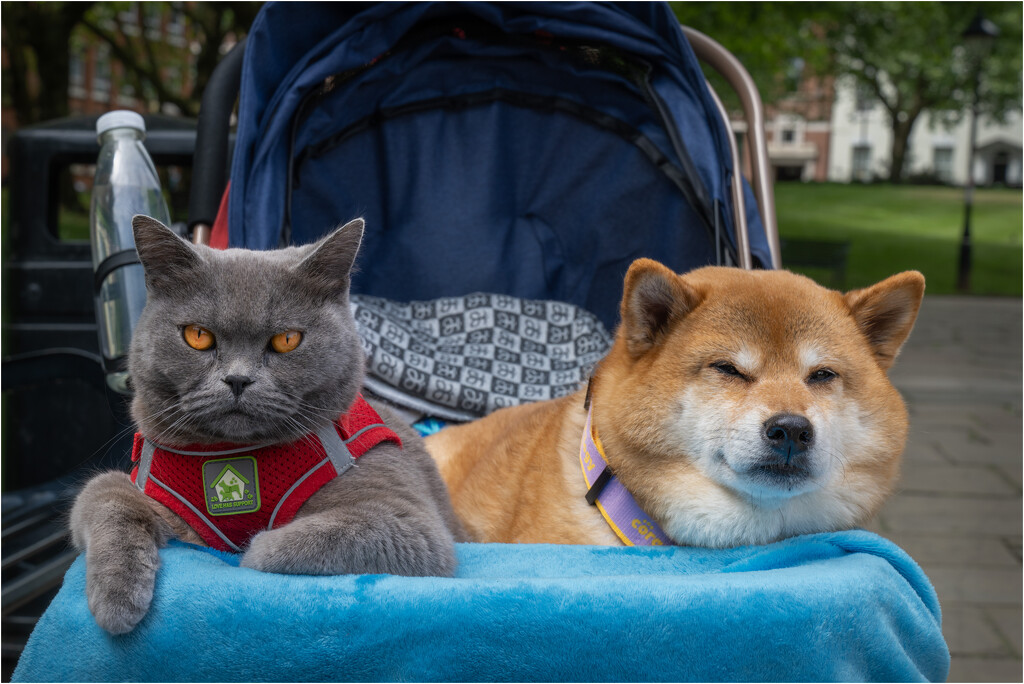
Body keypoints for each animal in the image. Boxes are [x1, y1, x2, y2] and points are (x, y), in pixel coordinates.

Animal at [66, 215, 462, 634]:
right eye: (198, 336)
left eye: (287, 339)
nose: (238, 380)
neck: (238, 454)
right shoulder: (147, 490)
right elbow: (103, 495)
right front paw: (115, 598)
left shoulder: (415, 527)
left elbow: (300, 541)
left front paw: (247, 551)